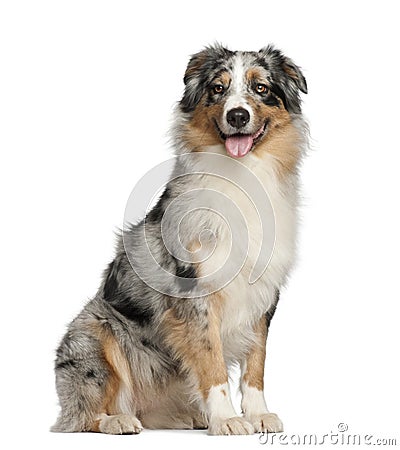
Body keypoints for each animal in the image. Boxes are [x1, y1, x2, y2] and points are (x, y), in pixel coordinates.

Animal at [51, 44, 308, 434]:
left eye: (261, 88)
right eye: (218, 88)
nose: (237, 115)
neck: (242, 176)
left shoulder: (263, 291)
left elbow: (257, 361)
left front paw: (257, 413)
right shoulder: (194, 291)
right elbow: (211, 361)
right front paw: (227, 419)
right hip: (93, 334)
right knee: (82, 414)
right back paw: (118, 420)